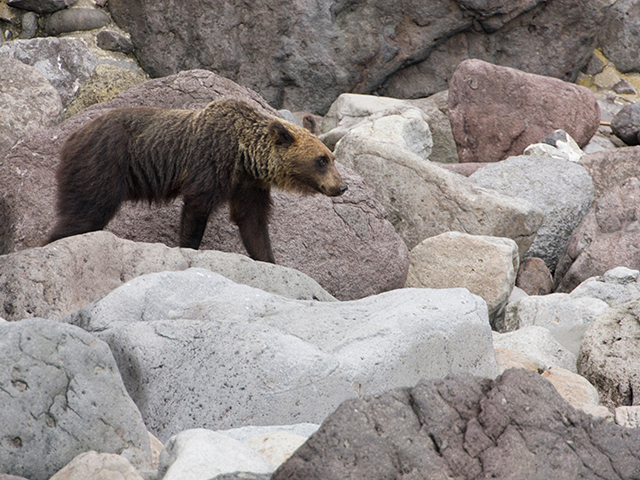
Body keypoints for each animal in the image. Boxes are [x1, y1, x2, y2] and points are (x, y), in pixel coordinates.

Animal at [47, 98, 348, 262]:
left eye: (332, 157)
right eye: (321, 160)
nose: (342, 186)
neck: (242, 156)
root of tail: (72, 137)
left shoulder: (249, 185)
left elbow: (252, 223)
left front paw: (268, 258)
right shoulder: (210, 165)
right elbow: (196, 210)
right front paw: (188, 246)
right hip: (103, 163)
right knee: (85, 212)